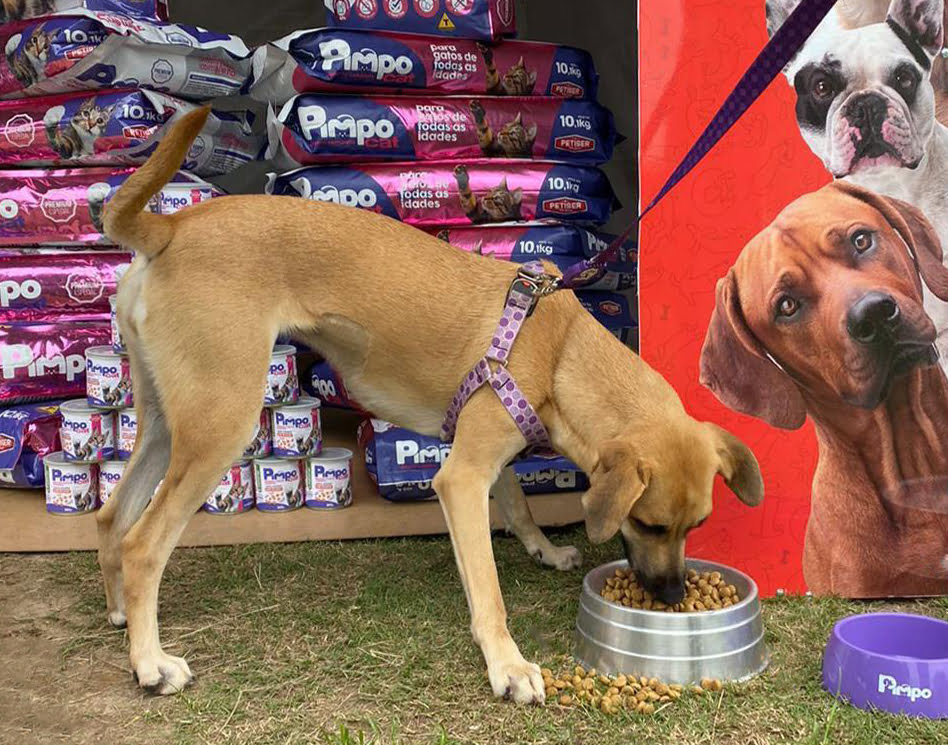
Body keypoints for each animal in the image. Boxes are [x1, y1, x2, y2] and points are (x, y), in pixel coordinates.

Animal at [96, 107, 764, 700]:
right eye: (650, 525)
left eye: (695, 526)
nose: (673, 597)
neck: (559, 350)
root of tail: (172, 228)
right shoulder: (462, 480)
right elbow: (488, 589)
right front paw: (508, 665)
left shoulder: (486, 453)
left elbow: (518, 505)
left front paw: (544, 550)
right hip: (220, 425)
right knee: (143, 544)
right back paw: (150, 664)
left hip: (164, 423)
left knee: (111, 517)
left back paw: (122, 617)